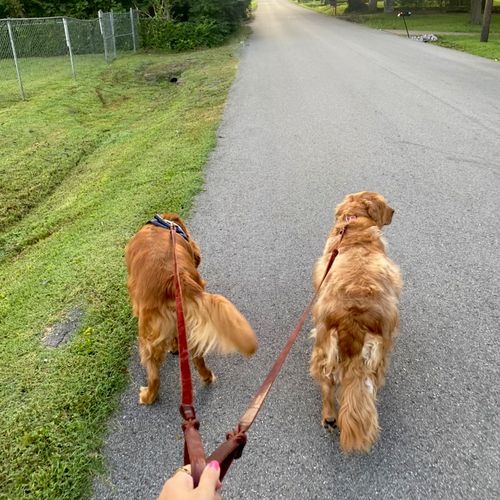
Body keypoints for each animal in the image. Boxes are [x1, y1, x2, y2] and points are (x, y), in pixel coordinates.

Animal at [125, 213, 258, 404]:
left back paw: (148, 396)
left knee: (154, 373)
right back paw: (207, 376)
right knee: (197, 357)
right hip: (191, 324)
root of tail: (174, 279)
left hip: (147, 335)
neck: (164, 224)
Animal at [308, 193, 402, 452]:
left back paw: (329, 418)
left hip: (323, 348)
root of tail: (353, 320)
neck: (355, 223)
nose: (395, 212)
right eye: (385, 203)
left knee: (327, 387)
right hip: (376, 357)